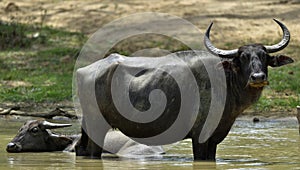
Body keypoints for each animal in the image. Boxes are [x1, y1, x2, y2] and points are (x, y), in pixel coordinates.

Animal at [74, 19, 292, 160]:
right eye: (242, 58)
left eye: (263, 56)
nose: (258, 78)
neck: (226, 83)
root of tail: (84, 70)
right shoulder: (200, 138)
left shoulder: (215, 138)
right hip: (96, 126)